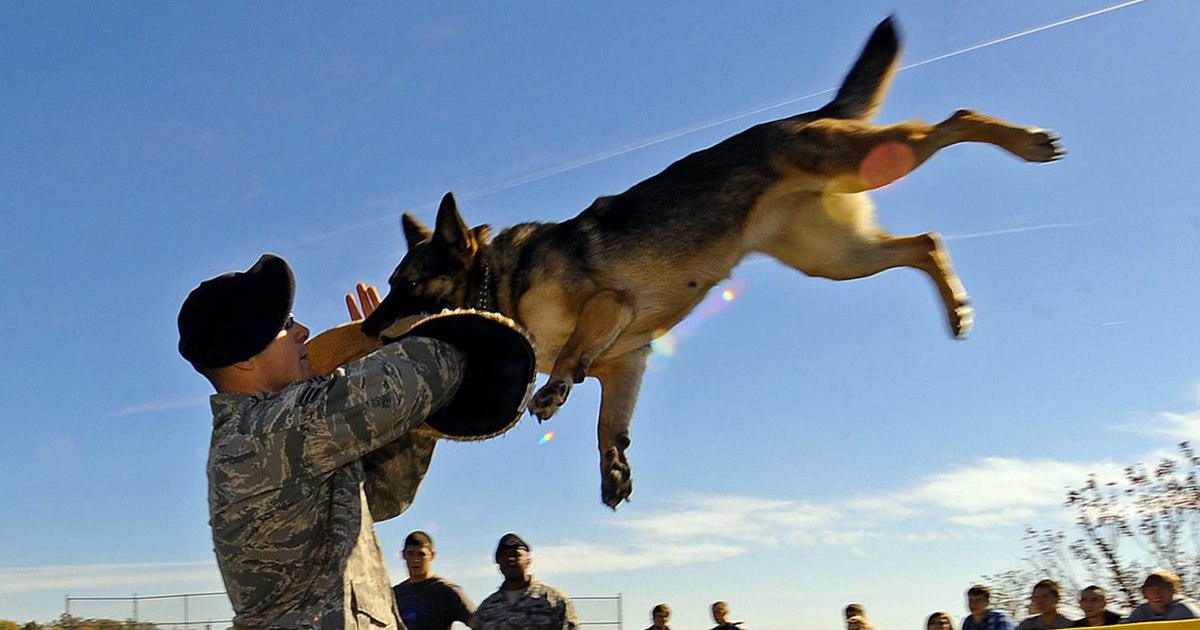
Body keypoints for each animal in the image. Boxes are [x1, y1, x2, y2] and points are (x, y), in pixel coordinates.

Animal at [355, 17, 1060, 508]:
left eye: (407, 284)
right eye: (388, 285)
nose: (366, 328)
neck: (498, 283)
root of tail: (812, 114)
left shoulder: (610, 310)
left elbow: (573, 357)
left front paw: (553, 391)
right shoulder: (627, 362)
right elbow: (607, 424)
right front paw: (613, 469)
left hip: (864, 165)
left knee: (954, 120)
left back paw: (1028, 142)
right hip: (837, 258)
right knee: (927, 242)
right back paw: (957, 307)